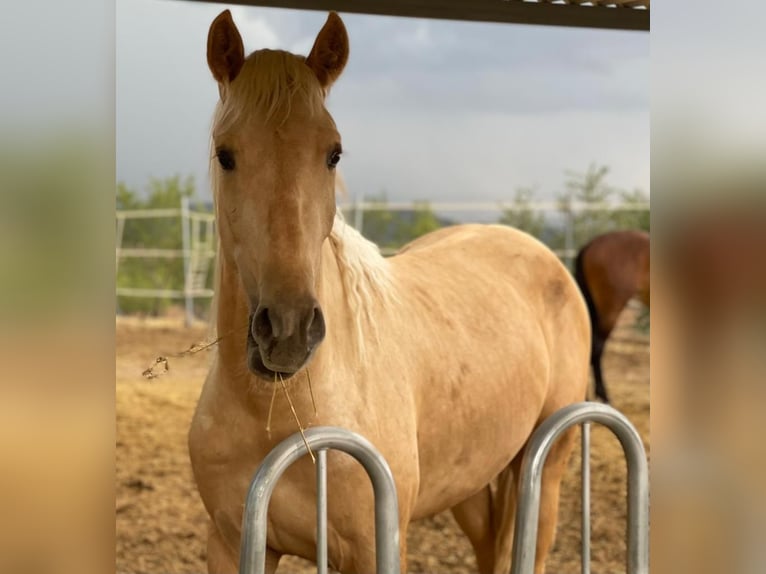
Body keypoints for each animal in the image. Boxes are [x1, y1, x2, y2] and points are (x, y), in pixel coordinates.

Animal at [188, 10, 591, 574]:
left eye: (333, 153)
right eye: (226, 155)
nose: (288, 331)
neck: (280, 415)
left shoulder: (374, 546)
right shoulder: (232, 543)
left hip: (546, 470)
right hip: (471, 483)